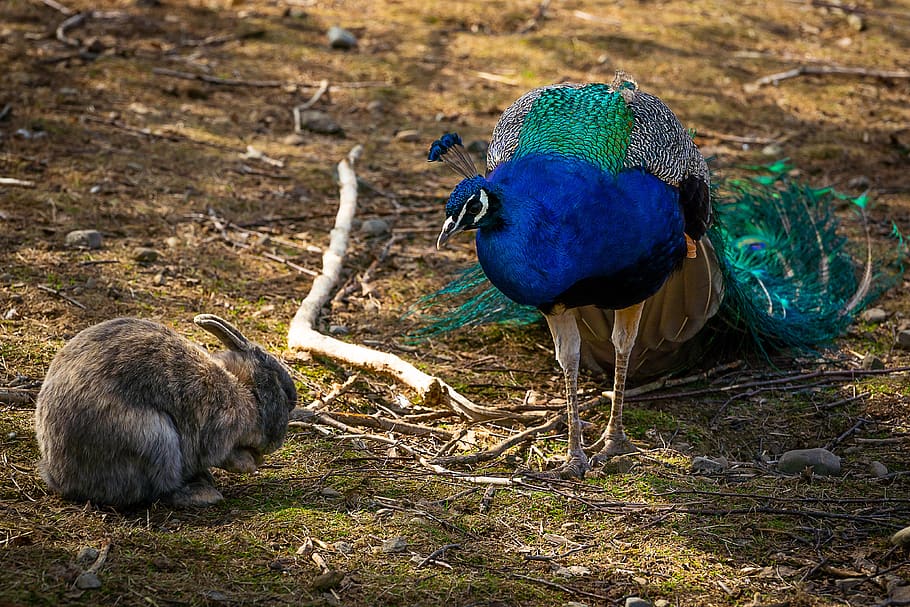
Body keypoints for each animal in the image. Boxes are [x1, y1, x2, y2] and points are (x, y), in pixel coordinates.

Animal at [34, 314, 297, 508]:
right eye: (284, 393)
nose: (276, 443)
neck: (243, 389)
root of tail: (59, 477)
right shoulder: (217, 432)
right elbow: (222, 454)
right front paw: (250, 463)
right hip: (156, 439)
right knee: (159, 489)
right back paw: (203, 494)